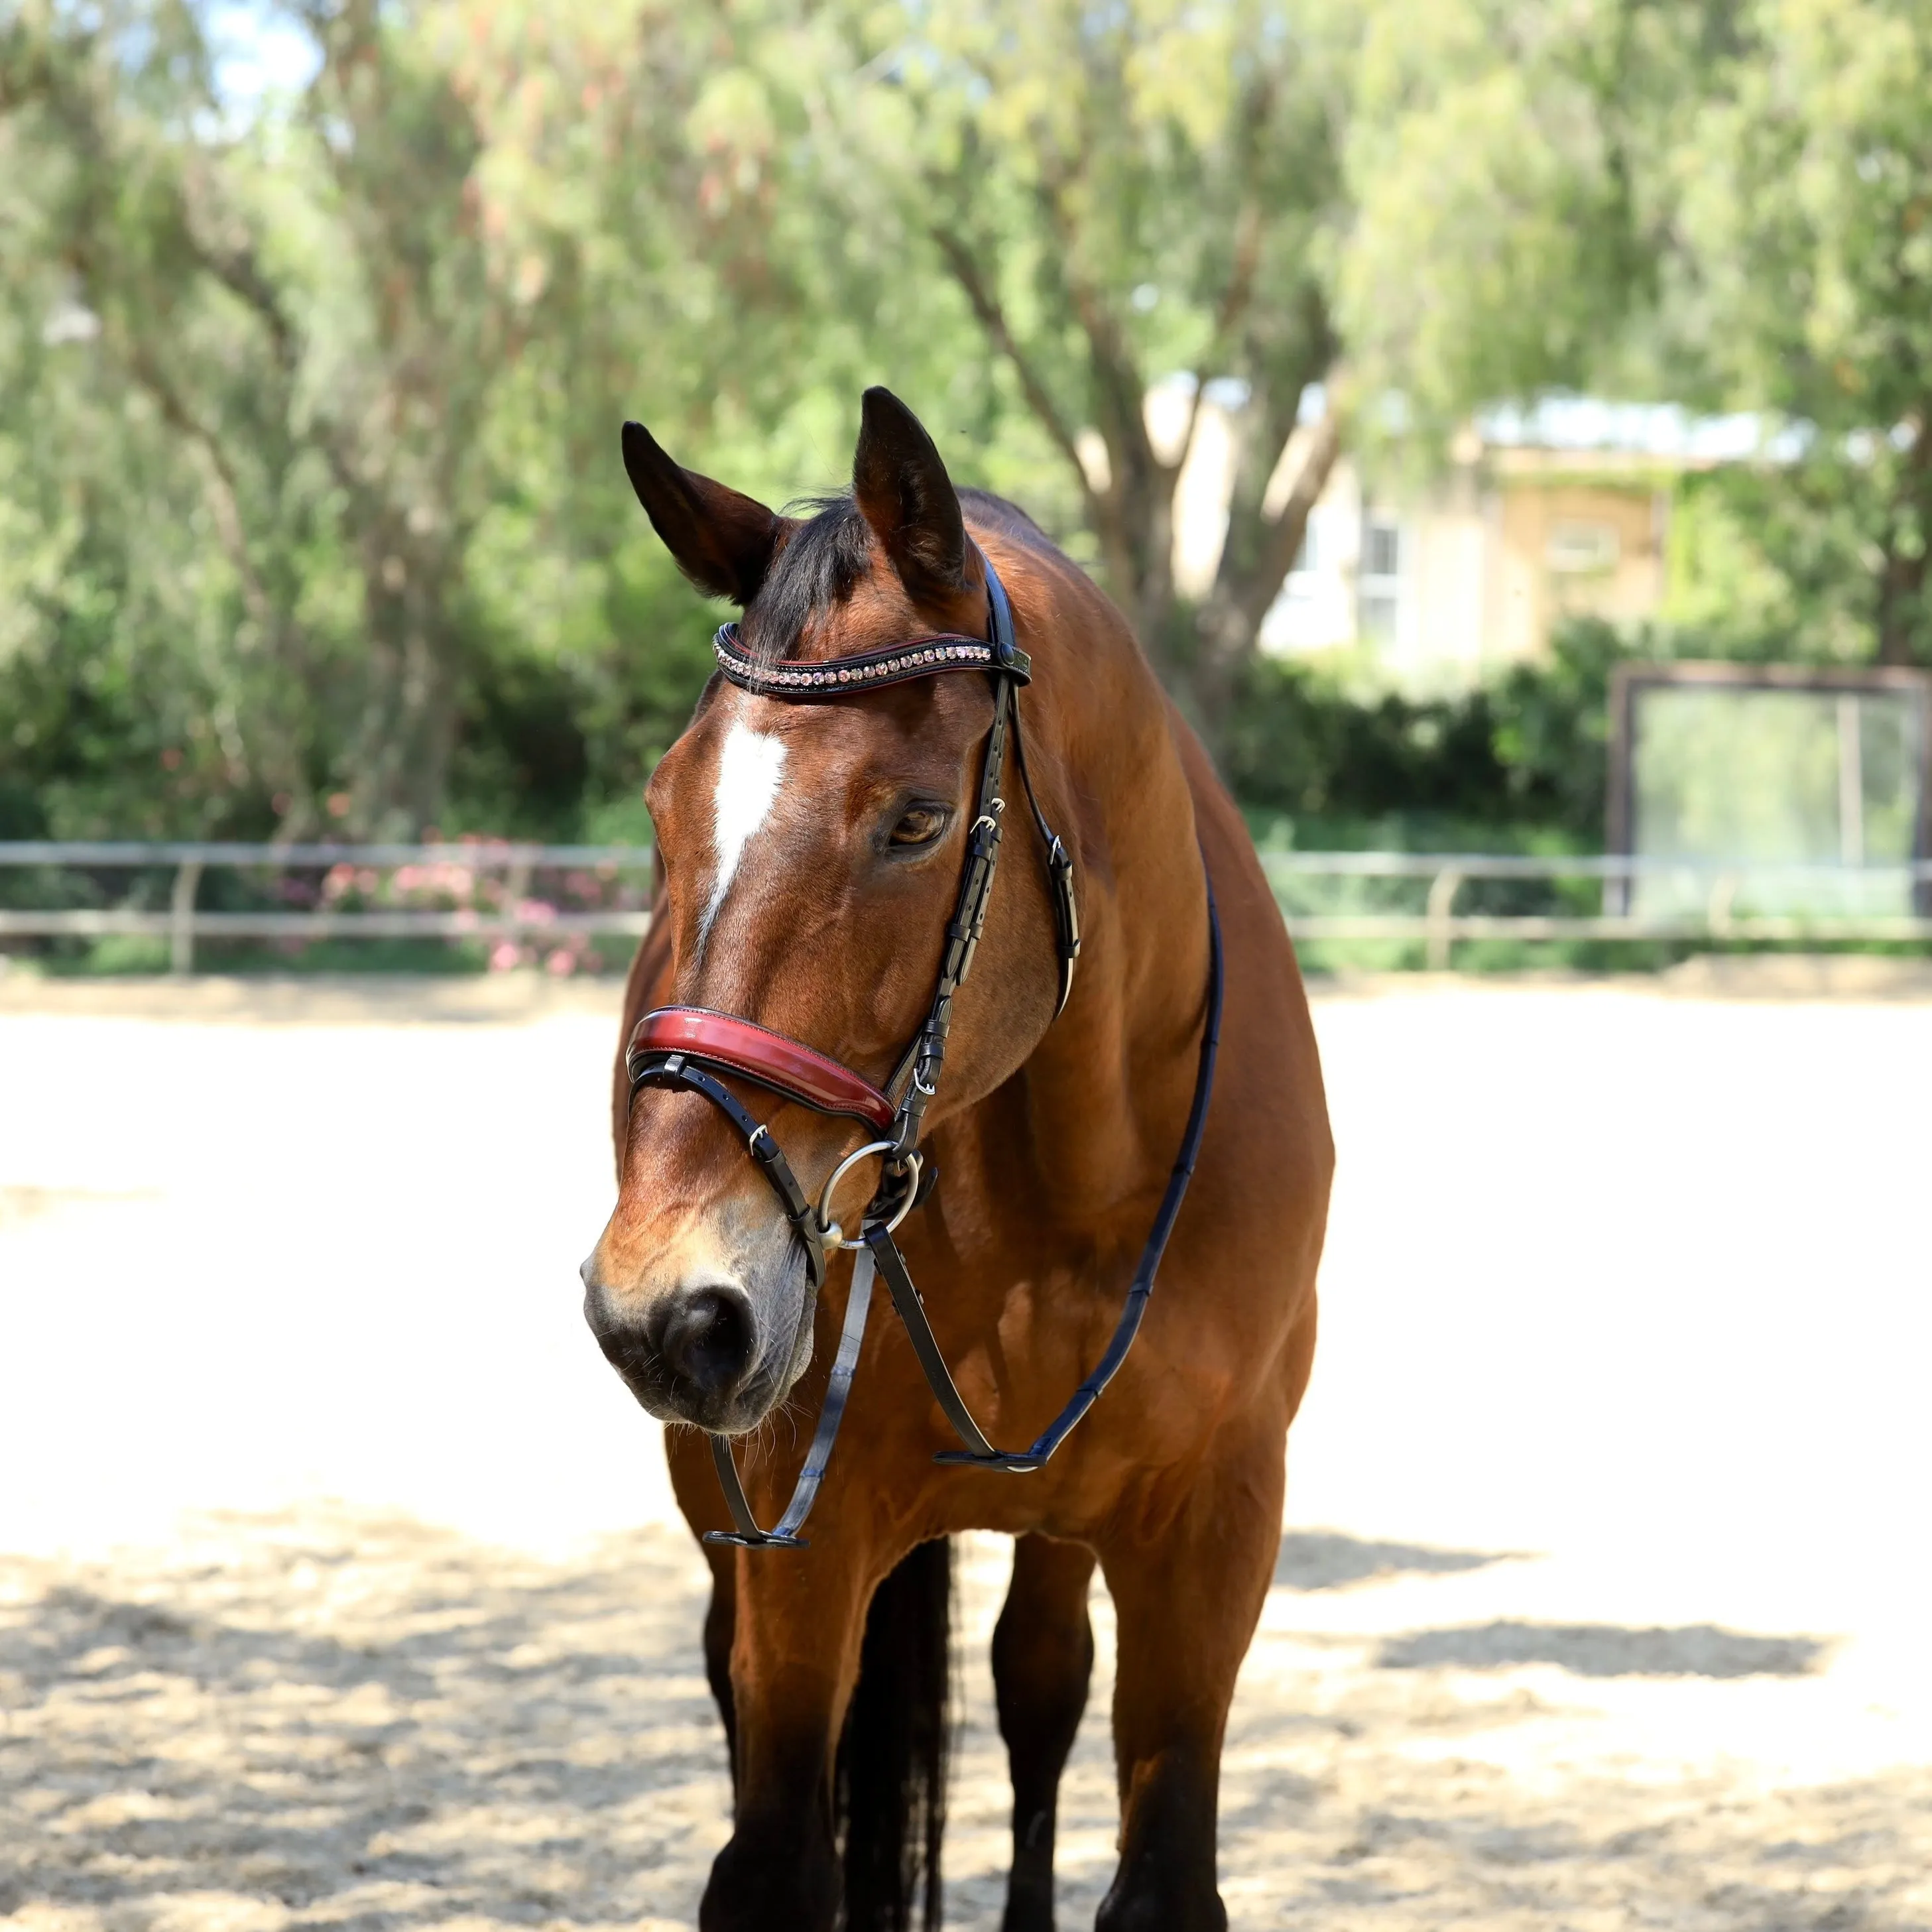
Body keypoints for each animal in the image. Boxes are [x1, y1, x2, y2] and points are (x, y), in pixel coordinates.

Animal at [575, 392, 1329, 1932]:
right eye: (664, 808)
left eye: (914, 820)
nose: (665, 1308)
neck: (1079, 1170)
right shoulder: (799, 1533)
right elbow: (773, 1857)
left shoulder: (1215, 1525)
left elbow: (1157, 1863)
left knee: (1038, 1684)